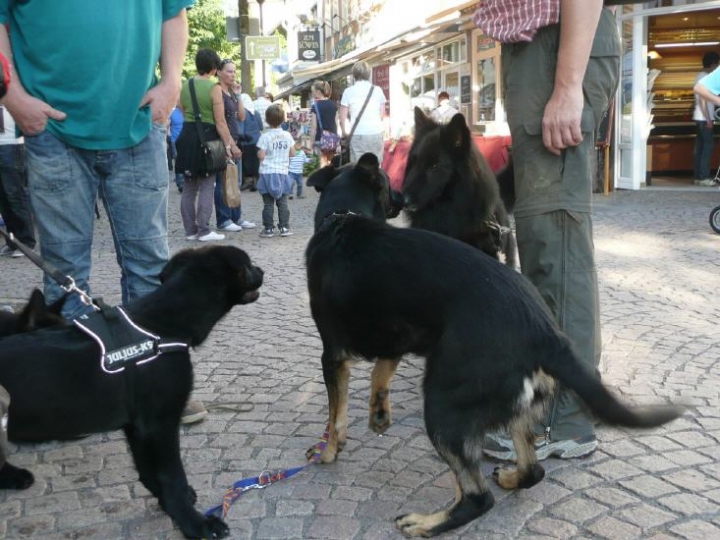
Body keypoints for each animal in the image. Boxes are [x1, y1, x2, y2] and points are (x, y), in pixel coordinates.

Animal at [0, 246, 262, 540]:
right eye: (249, 264)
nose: (262, 270)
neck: (162, 326)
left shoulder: (137, 426)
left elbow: (149, 473)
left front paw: (169, 505)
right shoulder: (160, 424)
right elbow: (173, 476)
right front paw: (195, 523)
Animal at [304, 154, 680, 536]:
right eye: (386, 182)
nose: (402, 197)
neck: (344, 218)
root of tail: (544, 329)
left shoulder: (331, 354)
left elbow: (336, 413)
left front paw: (328, 450)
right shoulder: (399, 335)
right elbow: (380, 374)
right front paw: (379, 414)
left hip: (444, 406)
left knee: (477, 497)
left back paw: (426, 522)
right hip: (515, 407)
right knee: (532, 470)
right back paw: (510, 478)